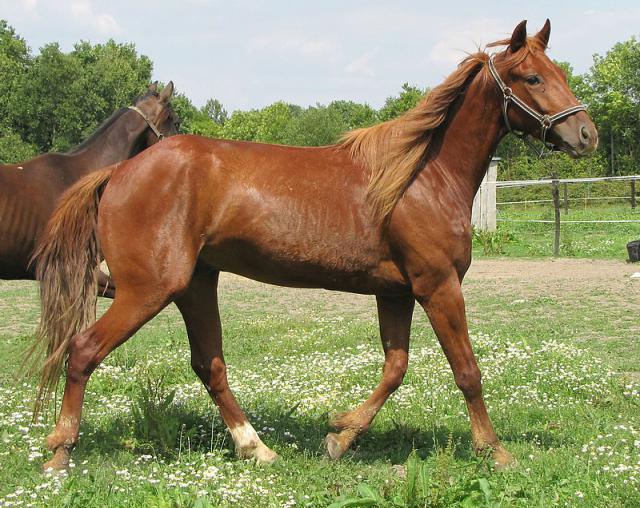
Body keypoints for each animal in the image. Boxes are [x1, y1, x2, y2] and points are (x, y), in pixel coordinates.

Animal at [32, 20, 596, 472]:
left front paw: (340, 436)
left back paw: (257, 448)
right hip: (148, 289)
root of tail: (118, 172)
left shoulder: (396, 293)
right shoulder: (437, 287)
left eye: (559, 71)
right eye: (532, 78)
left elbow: (395, 369)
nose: (586, 134)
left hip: (195, 285)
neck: (421, 175)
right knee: (82, 350)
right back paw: (60, 452)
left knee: (209, 365)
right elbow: (467, 371)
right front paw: (494, 450)